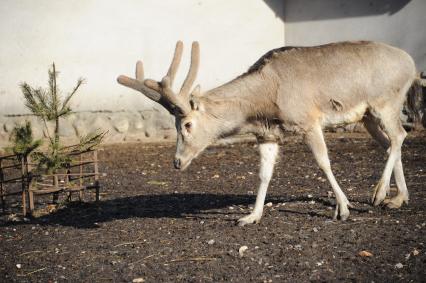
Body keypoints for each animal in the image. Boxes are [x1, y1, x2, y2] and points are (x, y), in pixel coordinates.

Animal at [117, 40, 422, 226]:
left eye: (187, 124)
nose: (177, 162)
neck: (265, 101)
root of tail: (413, 66)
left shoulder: (308, 120)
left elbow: (324, 162)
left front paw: (343, 208)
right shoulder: (268, 135)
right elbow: (264, 174)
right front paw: (251, 216)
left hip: (387, 101)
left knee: (399, 136)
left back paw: (379, 194)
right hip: (368, 115)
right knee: (390, 143)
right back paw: (398, 198)